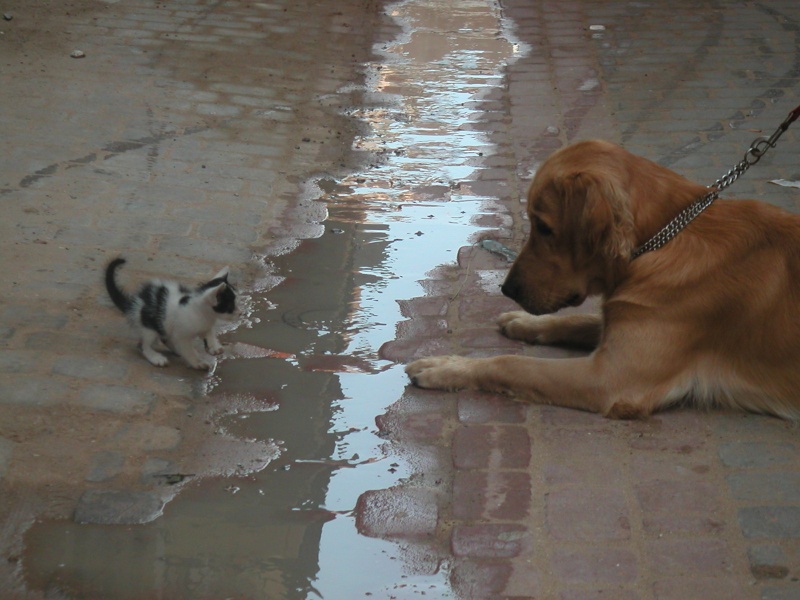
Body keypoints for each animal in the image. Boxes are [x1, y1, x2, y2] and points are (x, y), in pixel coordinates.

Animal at [101, 258, 238, 370]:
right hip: (149, 326)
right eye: (231, 307)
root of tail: (136, 302)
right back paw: (156, 357)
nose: (240, 313)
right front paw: (197, 362)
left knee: (165, 338)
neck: (204, 314)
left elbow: (209, 333)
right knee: (143, 345)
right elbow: (188, 349)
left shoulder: (206, 325)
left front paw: (214, 346)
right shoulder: (181, 335)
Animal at [406, 139, 800, 422]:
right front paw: (526, 322)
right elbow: (580, 320)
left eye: (543, 227)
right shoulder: (622, 325)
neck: (665, 240)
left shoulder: (610, 378)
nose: (507, 289)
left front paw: (447, 366)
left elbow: (512, 364)